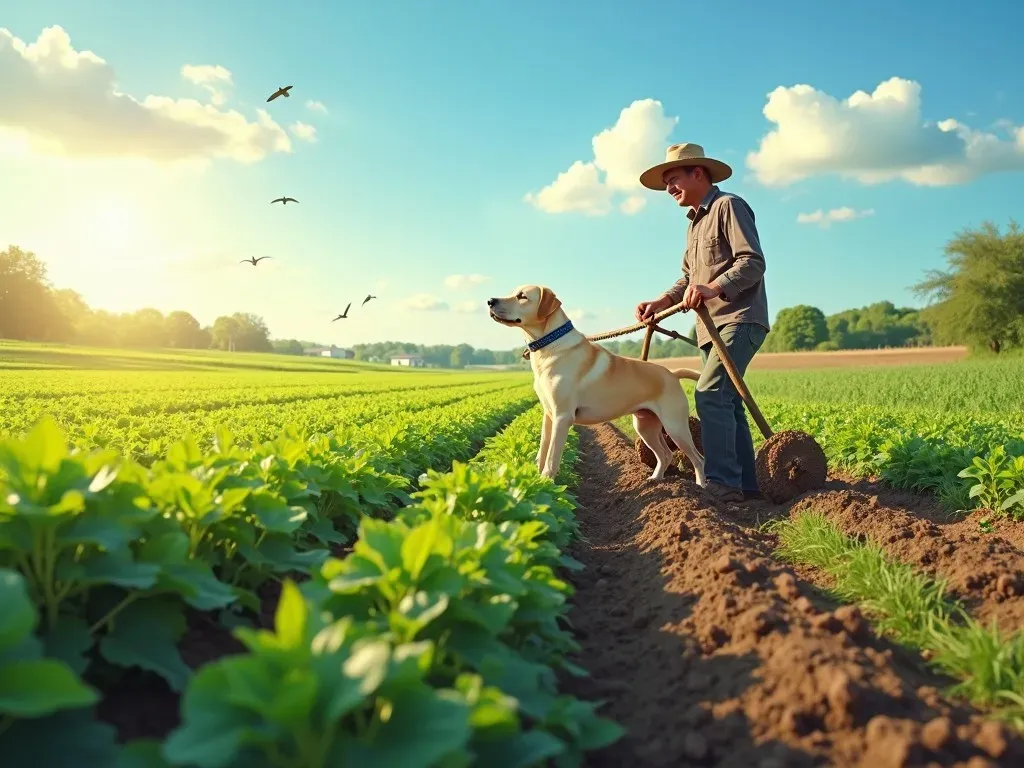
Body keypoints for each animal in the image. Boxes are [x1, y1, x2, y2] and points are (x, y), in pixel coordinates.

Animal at [487, 286, 704, 483]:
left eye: (522, 296)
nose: (490, 301)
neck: (549, 347)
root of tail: (672, 374)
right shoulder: (548, 415)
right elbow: (541, 453)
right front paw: (535, 482)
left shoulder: (562, 417)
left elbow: (551, 459)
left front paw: (546, 483)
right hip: (645, 426)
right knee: (665, 454)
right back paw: (655, 479)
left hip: (675, 426)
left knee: (698, 459)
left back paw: (701, 488)